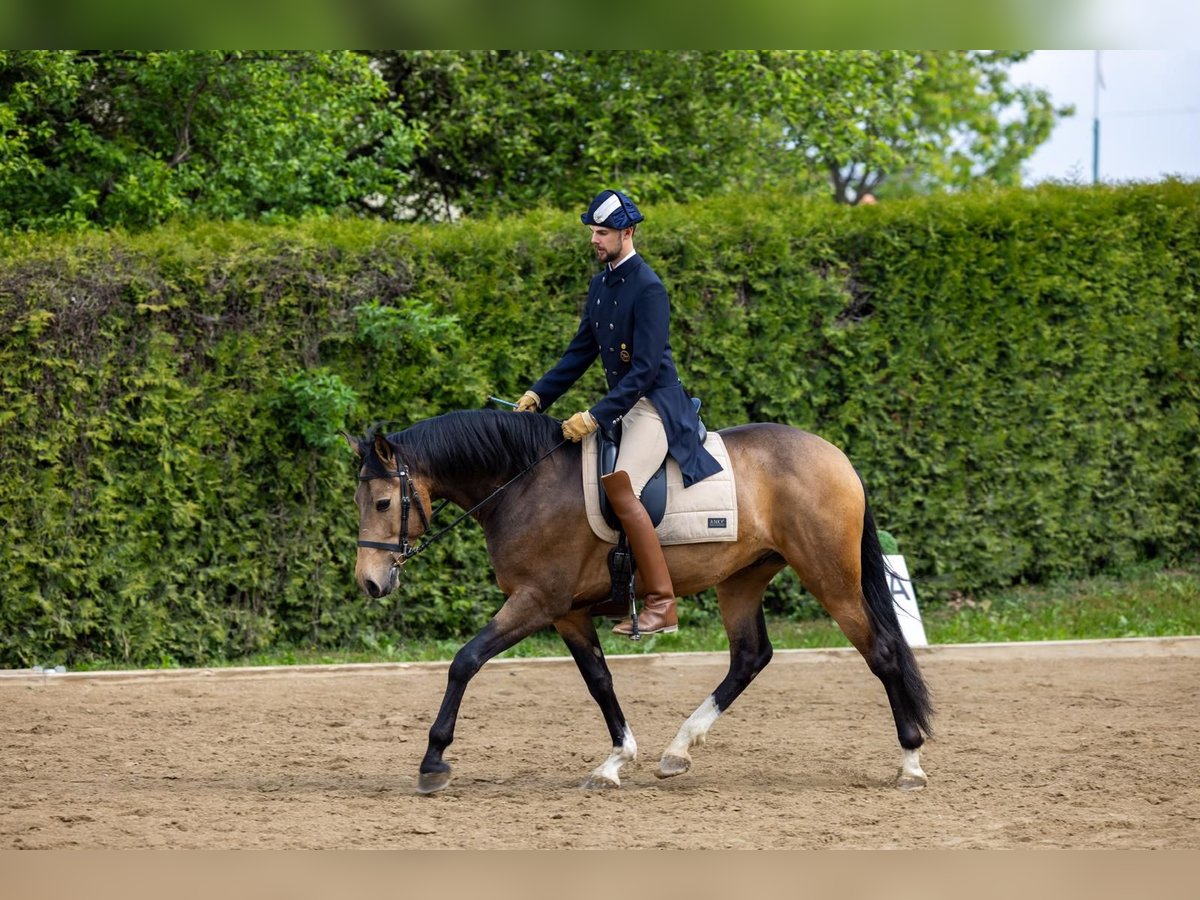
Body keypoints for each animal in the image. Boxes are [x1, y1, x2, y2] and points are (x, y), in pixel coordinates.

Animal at [343, 408, 931, 796]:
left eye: (383, 502)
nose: (370, 583)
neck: (524, 484)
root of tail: (835, 456)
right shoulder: (568, 612)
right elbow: (599, 681)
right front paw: (615, 761)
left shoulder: (536, 601)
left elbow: (464, 662)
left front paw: (433, 760)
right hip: (742, 578)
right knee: (750, 656)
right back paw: (677, 751)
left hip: (829, 576)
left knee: (880, 652)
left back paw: (910, 763)